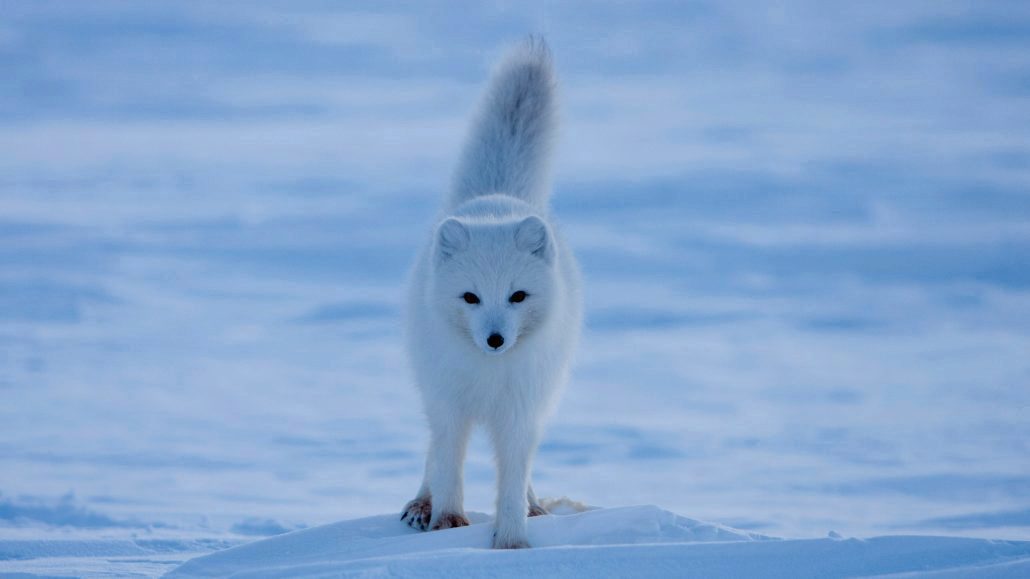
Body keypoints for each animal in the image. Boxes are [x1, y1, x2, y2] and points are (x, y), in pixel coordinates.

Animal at [399, 38, 580, 548]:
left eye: (518, 296)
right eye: (470, 297)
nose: (496, 339)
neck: (488, 375)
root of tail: (496, 198)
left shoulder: (521, 412)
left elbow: (513, 477)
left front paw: (512, 540)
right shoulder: (448, 403)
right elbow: (448, 464)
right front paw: (445, 521)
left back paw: (536, 506)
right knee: (433, 453)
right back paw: (421, 504)